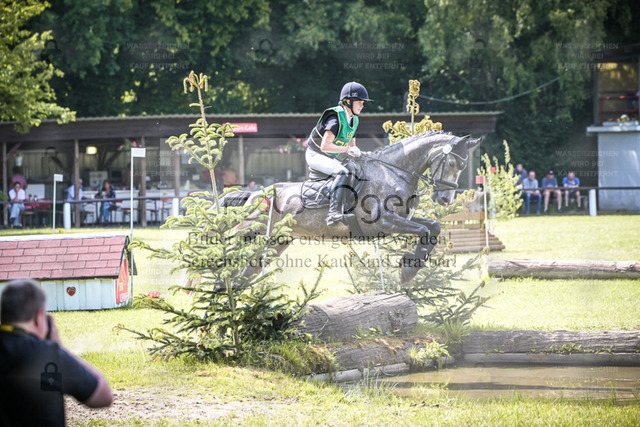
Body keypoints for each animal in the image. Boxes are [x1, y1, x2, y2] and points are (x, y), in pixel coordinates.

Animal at [230, 131, 481, 283]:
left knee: (244, 274)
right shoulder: (383, 221)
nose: (446, 200)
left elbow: (433, 227)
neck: (393, 171)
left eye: (462, 166)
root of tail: (253, 195)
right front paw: (408, 269)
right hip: (250, 234)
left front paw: (410, 266)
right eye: (451, 163)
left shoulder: (403, 217)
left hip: (276, 243)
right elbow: (423, 230)